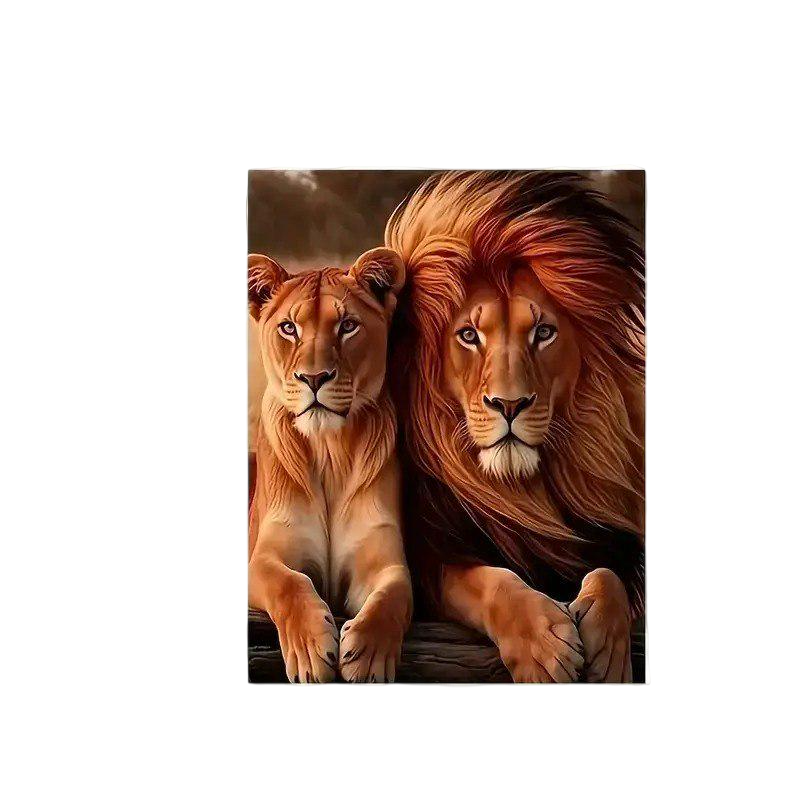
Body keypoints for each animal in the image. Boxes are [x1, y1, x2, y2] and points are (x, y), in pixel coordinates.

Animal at [248, 247, 413, 683]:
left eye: (348, 326)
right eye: (289, 328)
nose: (314, 377)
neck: (329, 452)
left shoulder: (385, 560)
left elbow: (393, 598)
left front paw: (369, 658)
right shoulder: (265, 556)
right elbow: (289, 583)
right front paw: (309, 650)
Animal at [386, 171, 645, 682]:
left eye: (543, 332)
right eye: (469, 335)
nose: (509, 404)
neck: (520, 490)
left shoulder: (613, 546)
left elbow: (609, 578)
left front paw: (609, 653)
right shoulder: (433, 557)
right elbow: (494, 580)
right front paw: (542, 645)